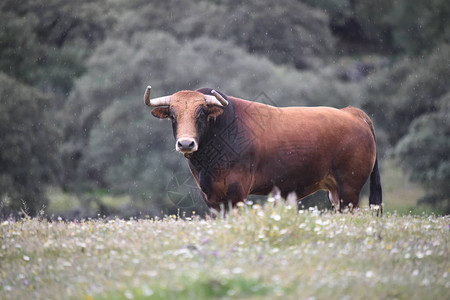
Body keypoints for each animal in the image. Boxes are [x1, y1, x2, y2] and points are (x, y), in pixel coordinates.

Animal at [145, 86, 384, 213]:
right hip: (335, 191)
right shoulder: (211, 196)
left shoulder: (237, 191)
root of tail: (352, 113)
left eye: (202, 113)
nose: (186, 144)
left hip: (349, 188)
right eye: (172, 115)